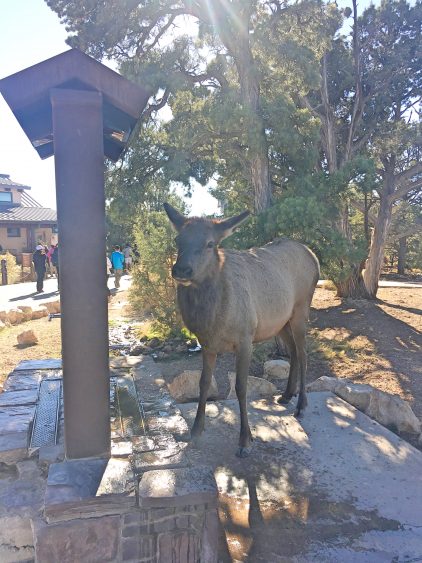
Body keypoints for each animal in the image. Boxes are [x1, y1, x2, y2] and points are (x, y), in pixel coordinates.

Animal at [163, 203, 318, 458]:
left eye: (210, 243)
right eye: (178, 239)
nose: (182, 270)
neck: (213, 321)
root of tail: (313, 256)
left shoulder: (245, 338)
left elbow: (241, 387)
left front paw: (245, 440)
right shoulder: (207, 343)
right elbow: (204, 383)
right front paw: (195, 431)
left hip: (300, 309)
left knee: (304, 353)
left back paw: (302, 404)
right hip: (279, 321)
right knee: (294, 352)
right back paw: (286, 395)